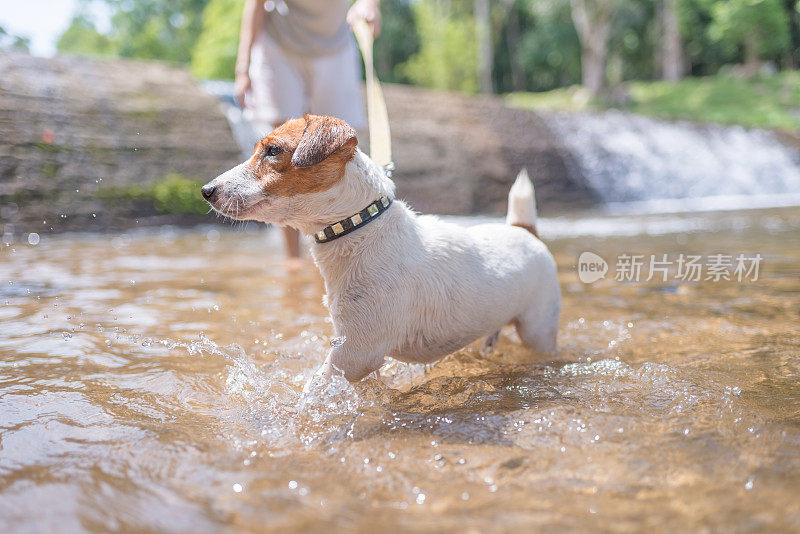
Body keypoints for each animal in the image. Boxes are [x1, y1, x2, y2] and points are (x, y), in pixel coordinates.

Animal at [202, 115, 564, 388]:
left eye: (273, 150)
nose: (206, 190)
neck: (360, 226)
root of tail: (522, 229)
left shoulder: (355, 353)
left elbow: (315, 388)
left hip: (537, 328)